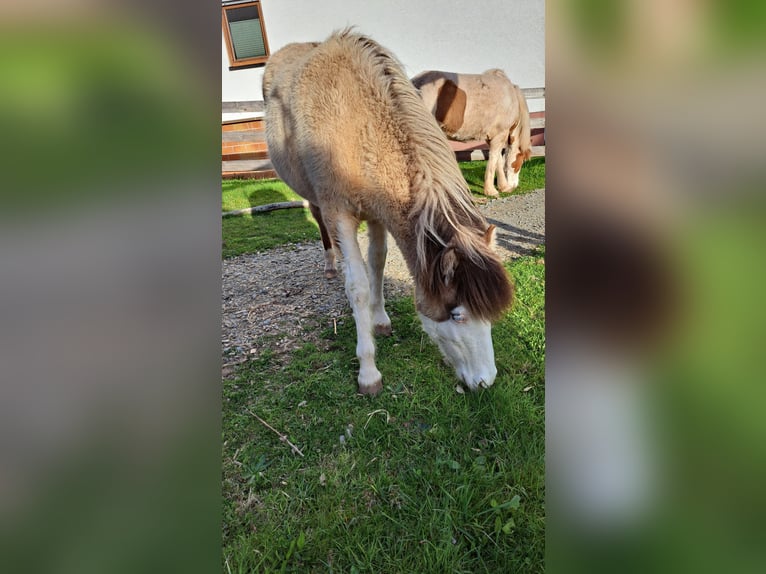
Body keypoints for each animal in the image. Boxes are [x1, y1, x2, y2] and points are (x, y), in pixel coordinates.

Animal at [262, 30, 513, 395]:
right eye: (456, 314)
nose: (486, 381)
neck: (356, 125)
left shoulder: (380, 211)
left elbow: (377, 264)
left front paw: (379, 320)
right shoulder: (340, 213)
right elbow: (358, 286)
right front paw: (368, 371)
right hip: (313, 198)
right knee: (320, 224)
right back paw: (330, 265)